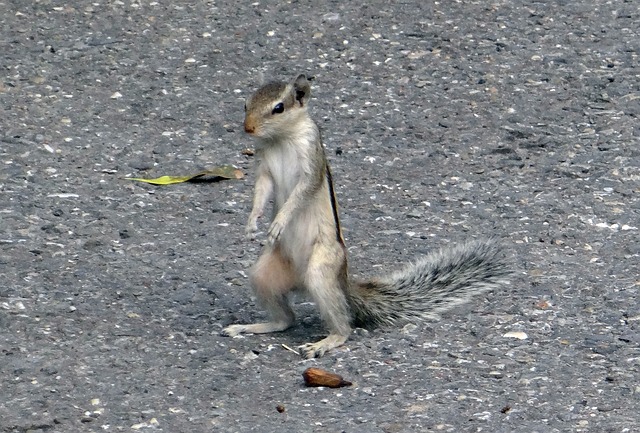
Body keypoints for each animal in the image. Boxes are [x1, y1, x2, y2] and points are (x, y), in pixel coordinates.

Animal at [222, 74, 512, 358]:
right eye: (245, 104)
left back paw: (326, 342)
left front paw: (279, 221)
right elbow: (262, 191)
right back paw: (252, 326)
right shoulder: (264, 165)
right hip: (263, 275)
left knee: (343, 326)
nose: (248, 128)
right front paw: (252, 222)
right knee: (286, 320)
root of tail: (342, 282)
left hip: (321, 270)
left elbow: (301, 193)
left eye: (279, 108)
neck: (281, 138)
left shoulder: (311, 161)